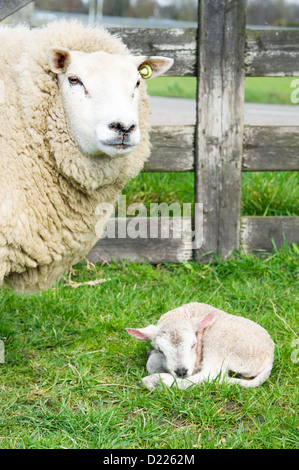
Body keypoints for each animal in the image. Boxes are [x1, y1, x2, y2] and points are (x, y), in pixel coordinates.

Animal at [125, 302, 276, 392]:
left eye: (193, 344)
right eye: (160, 349)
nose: (181, 372)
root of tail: (269, 361)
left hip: (220, 340)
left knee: (211, 375)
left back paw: (157, 381)